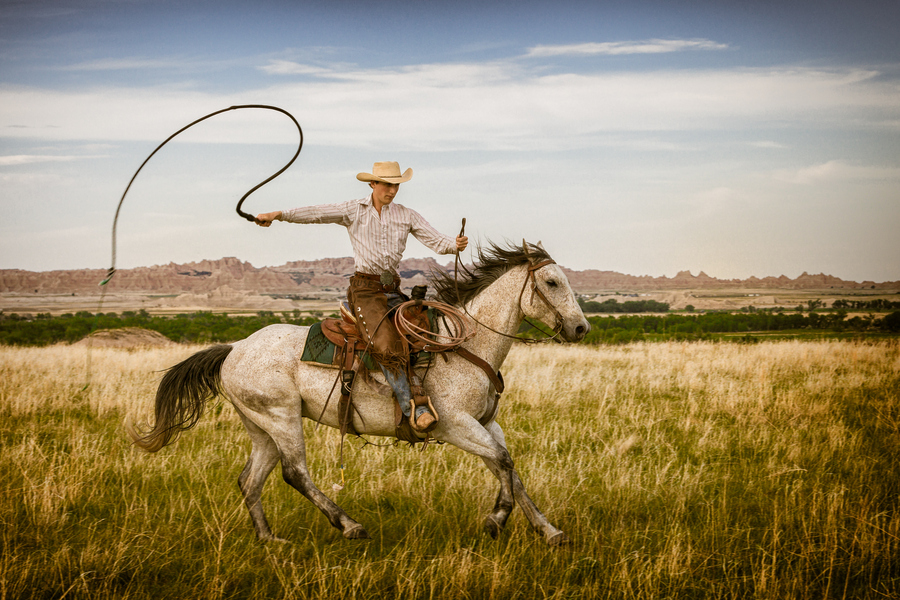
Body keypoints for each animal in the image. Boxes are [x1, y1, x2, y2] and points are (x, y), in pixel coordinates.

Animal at [127, 241, 590, 546]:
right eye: (552, 282)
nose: (581, 327)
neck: (461, 345)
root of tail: (234, 348)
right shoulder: (455, 426)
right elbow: (504, 463)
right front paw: (496, 519)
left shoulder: (486, 424)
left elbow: (509, 468)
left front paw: (549, 531)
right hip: (282, 419)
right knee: (294, 473)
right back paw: (349, 525)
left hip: (262, 427)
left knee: (250, 480)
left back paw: (269, 540)